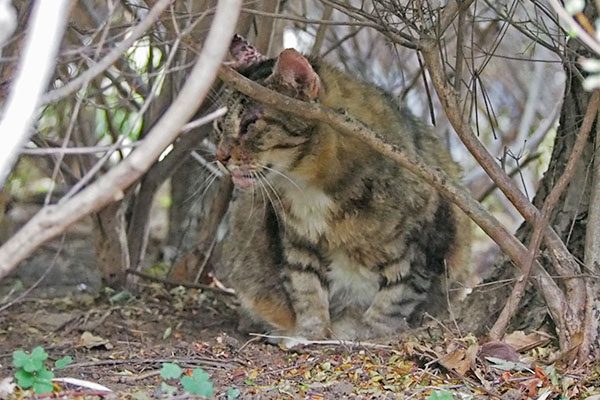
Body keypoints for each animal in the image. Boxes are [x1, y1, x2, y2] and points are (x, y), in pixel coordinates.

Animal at [213, 35, 472, 340]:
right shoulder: (297, 245)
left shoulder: (421, 243)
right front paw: (310, 333)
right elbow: (306, 289)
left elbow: (395, 298)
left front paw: (368, 334)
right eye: (219, 125)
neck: (307, 188)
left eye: (251, 123)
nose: (221, 157)